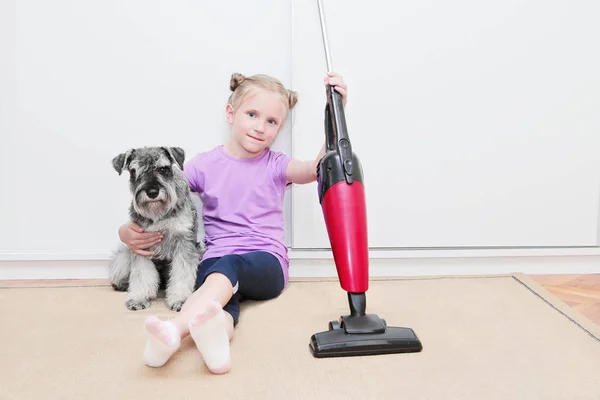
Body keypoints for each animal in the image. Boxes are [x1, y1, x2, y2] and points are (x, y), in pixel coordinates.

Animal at [108, 147, 202, 312]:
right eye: (134, 171)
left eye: (163, 169)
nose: (152, 192)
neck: (159, 213)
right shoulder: (141, 245)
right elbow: (141, 274)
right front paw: (139, 298)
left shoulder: (184, 243)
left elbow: (182, 273)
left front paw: (180, 299)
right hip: (124, 255)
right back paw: (122, 284)